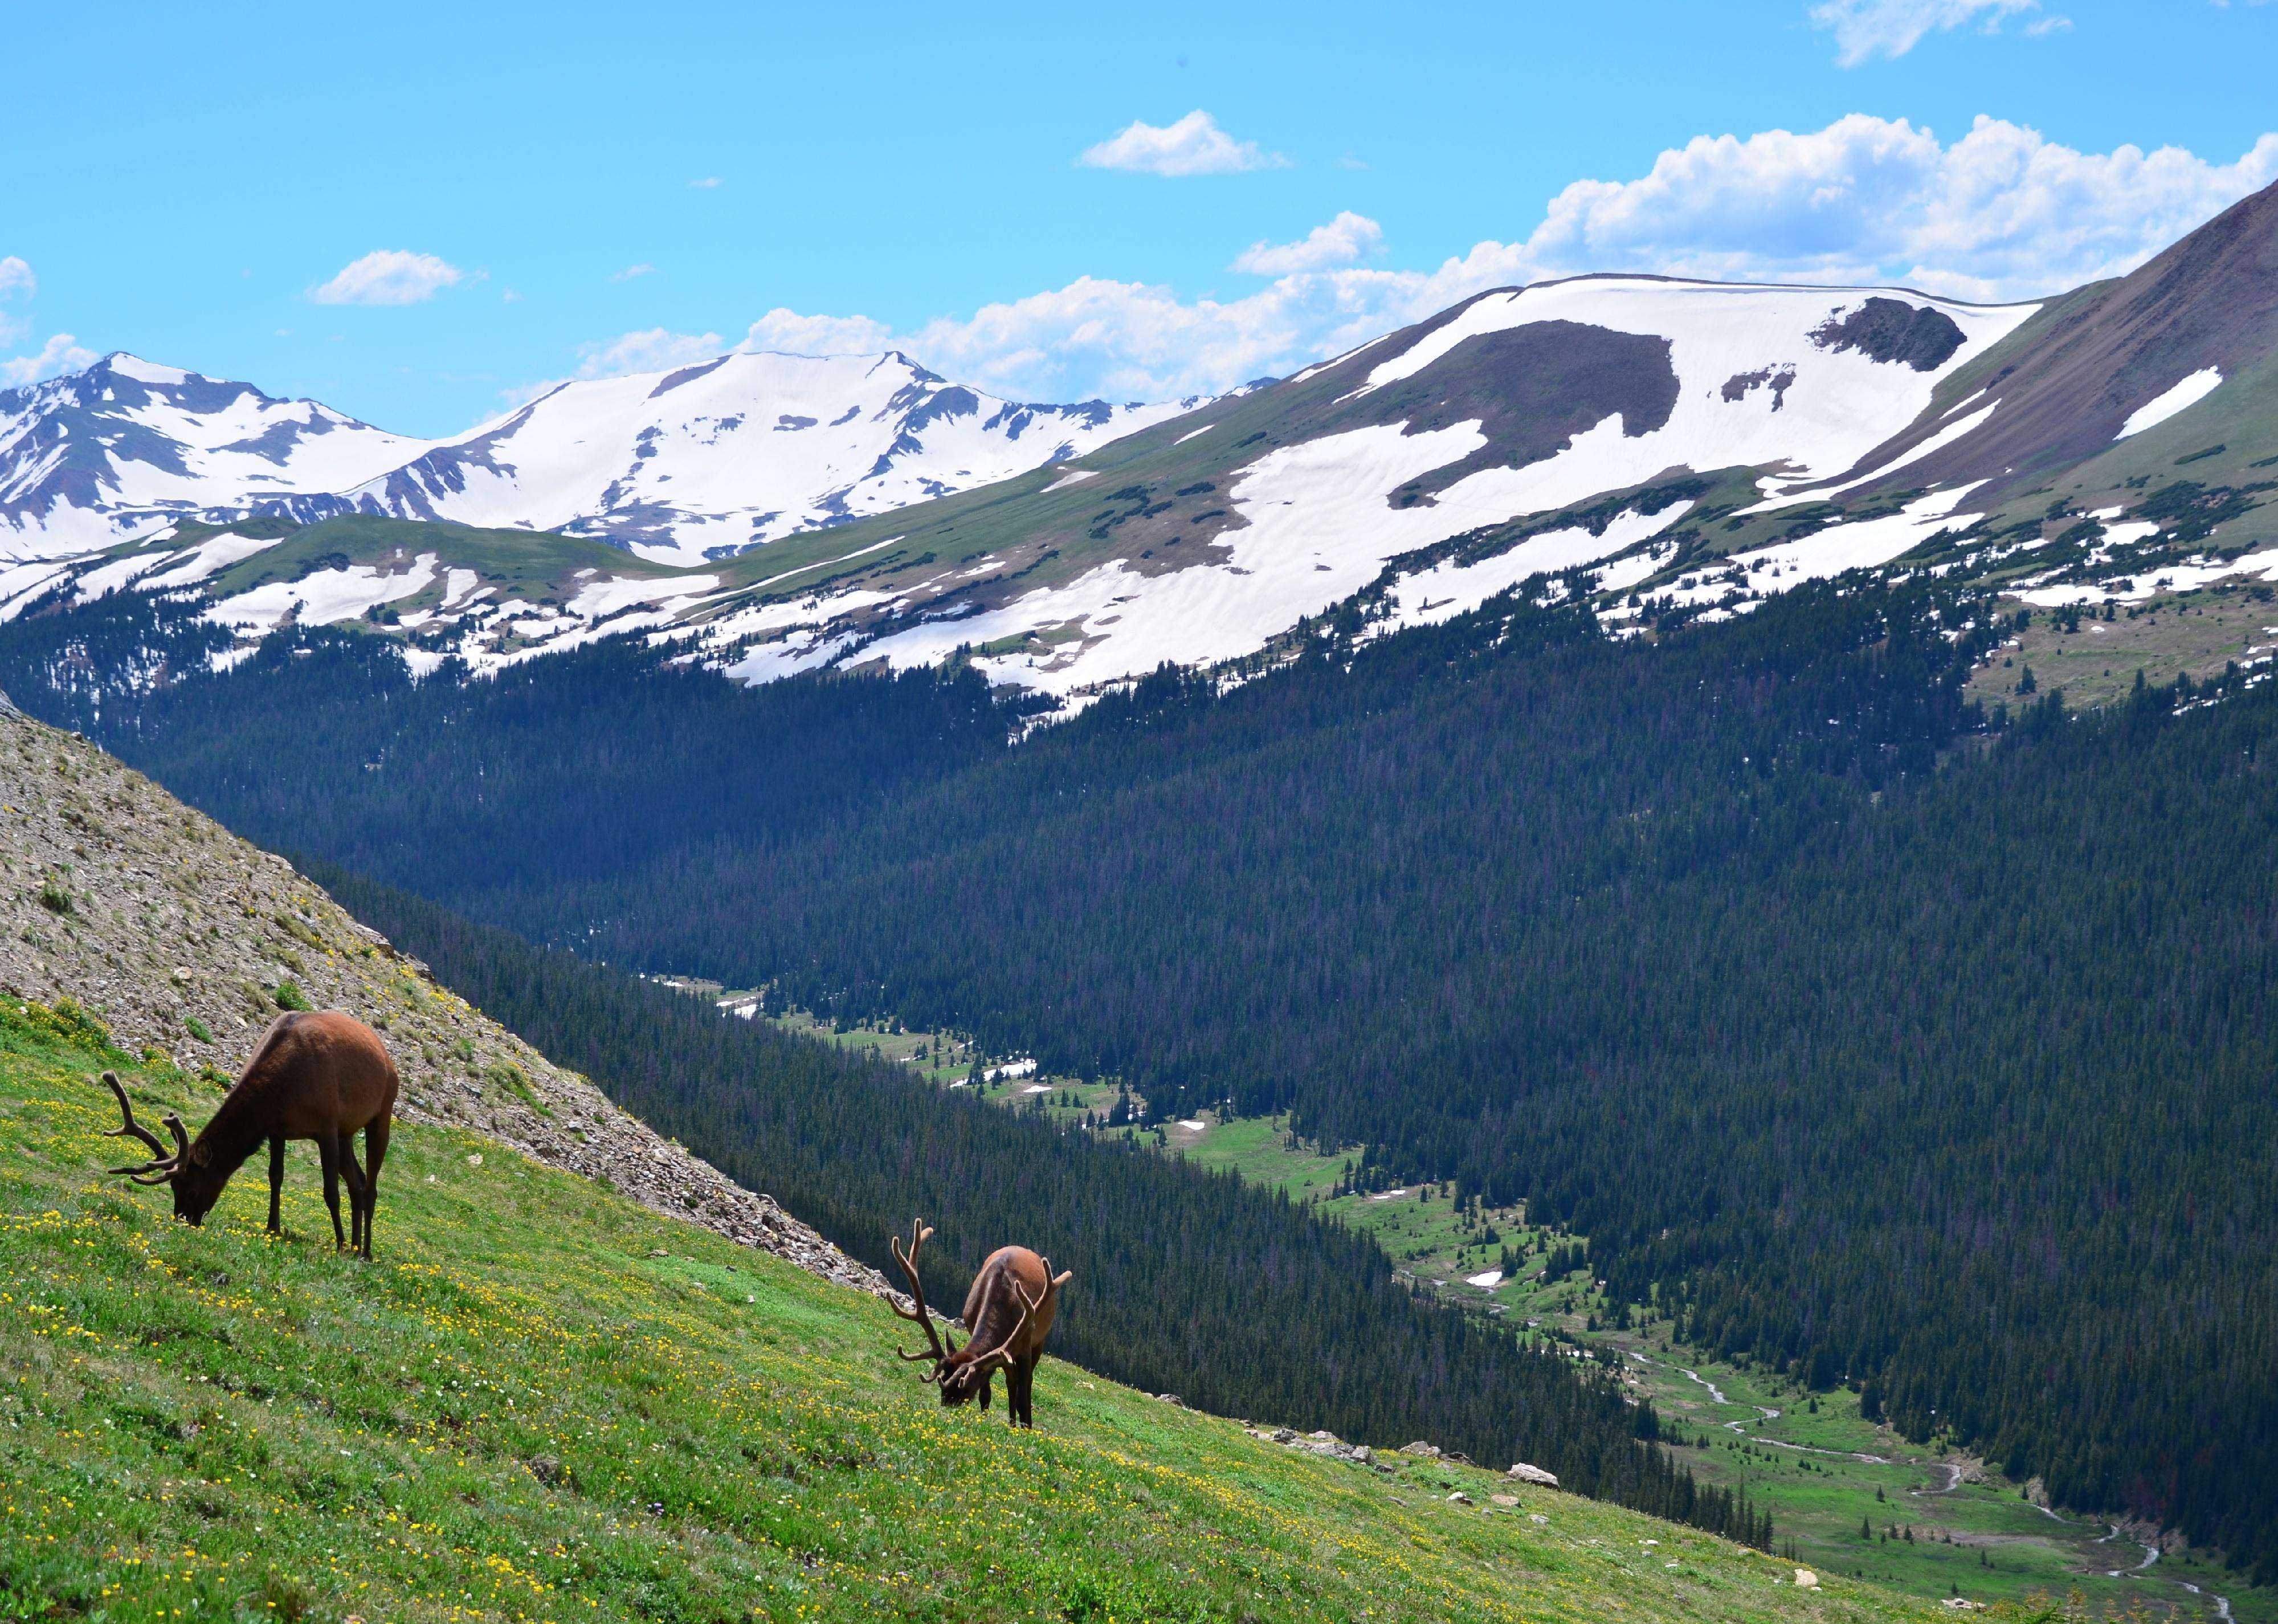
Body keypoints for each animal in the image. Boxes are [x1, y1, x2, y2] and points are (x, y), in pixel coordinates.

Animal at [99, 1009, 398, 1259]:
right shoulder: (279, 1130)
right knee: (357, 1182)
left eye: (193, 1190)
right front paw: (272, 1228)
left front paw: (339, 1244)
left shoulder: (327, 1126)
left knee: (370, 1187)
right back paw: (357, 1246)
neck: (283, 1091)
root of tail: (385, 1054)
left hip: (381, 1114)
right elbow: (276, 1176)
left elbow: (330, 1192)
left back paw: (364, 1252)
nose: (184, 1220)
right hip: (347, 1132)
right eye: (174, 1187)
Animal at [887, 1218, 1072, 1429]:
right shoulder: (980, 1335)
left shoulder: (1025, 1343)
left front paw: (1026, 1430)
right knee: (1011, 1382)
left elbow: (1023, 1399)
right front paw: (984, 1419)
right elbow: (986, 1395)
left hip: (1039, 1340)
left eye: (965, 1388)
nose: (946, 1405)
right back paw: (1012, 1424)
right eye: (943, 1380)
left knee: (1025, 1385)